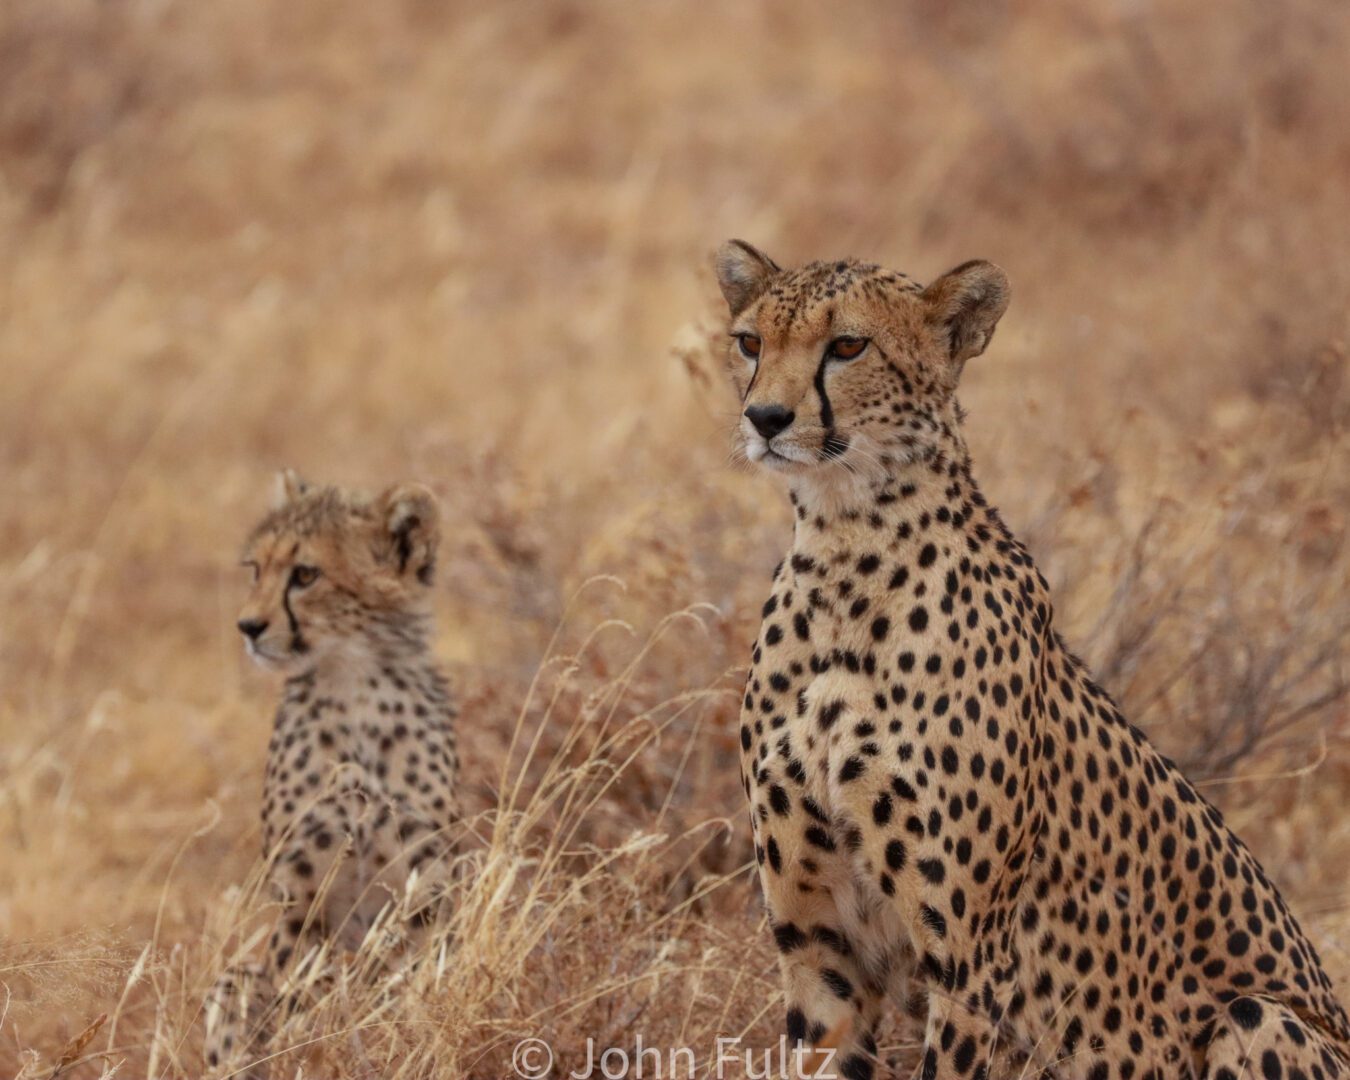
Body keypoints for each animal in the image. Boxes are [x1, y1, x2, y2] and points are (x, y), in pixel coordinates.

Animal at [203, 472, 459, 1080]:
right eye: (256, 569)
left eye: (305, 574)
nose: (248, 627)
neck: (355, 681)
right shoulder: (300, 899)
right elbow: (297, 995)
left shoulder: (425, 894)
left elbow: (410, 987)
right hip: (235, 977)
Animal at [718, 243, 1350, 1080]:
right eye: (750, 342)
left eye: (848, 346)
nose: (765, 419)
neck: (846, 552)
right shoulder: (817, 948)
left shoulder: (970, 963)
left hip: (1258, 1016)